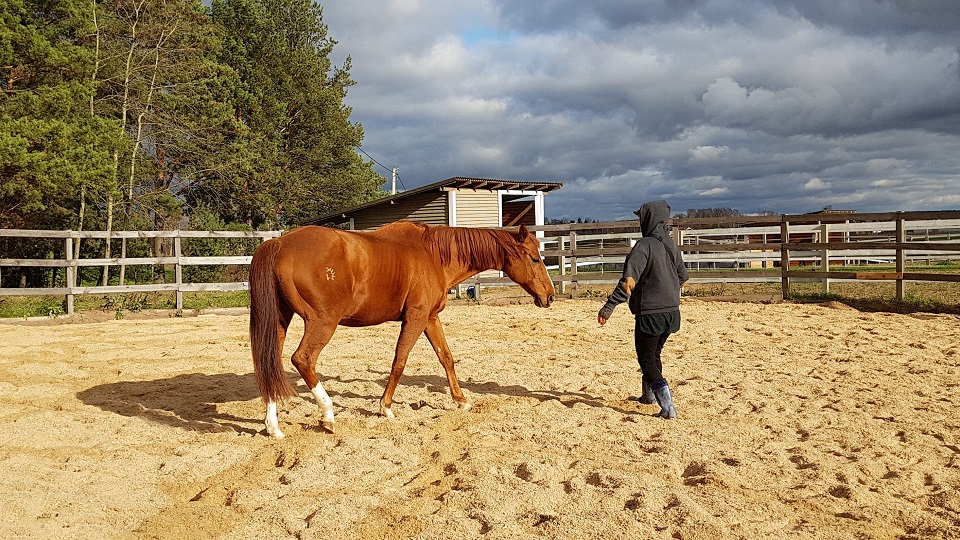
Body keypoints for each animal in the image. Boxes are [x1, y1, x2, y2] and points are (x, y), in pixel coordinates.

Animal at [248, 220, 556, 438]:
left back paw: (273, 427)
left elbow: (446, 358)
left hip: (280, 322)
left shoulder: (430, 318)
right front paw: (385, 407)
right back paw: (328, 414)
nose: (550, 296)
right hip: (322, 323)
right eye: (534, 258)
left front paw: (461, 400)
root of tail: (279, 244)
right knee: (303, 359)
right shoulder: (416, 318)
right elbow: (400, 360)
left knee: (269, 365)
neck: (433, 255)